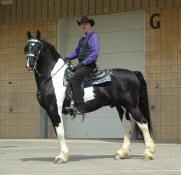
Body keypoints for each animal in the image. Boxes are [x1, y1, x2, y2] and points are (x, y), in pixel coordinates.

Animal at [24, 30, 156, 163]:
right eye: (27, 46)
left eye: (38, 47)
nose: (30, 64)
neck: (53, 77)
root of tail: (133, 73)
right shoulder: (51, 110)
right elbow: (58, 132)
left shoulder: (54, 109)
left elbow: (60, 132)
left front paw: (62, 156)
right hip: (122, 107)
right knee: (127, 125)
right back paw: (121, 152)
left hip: (131, 106)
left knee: (142, 122)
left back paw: (148, 153)